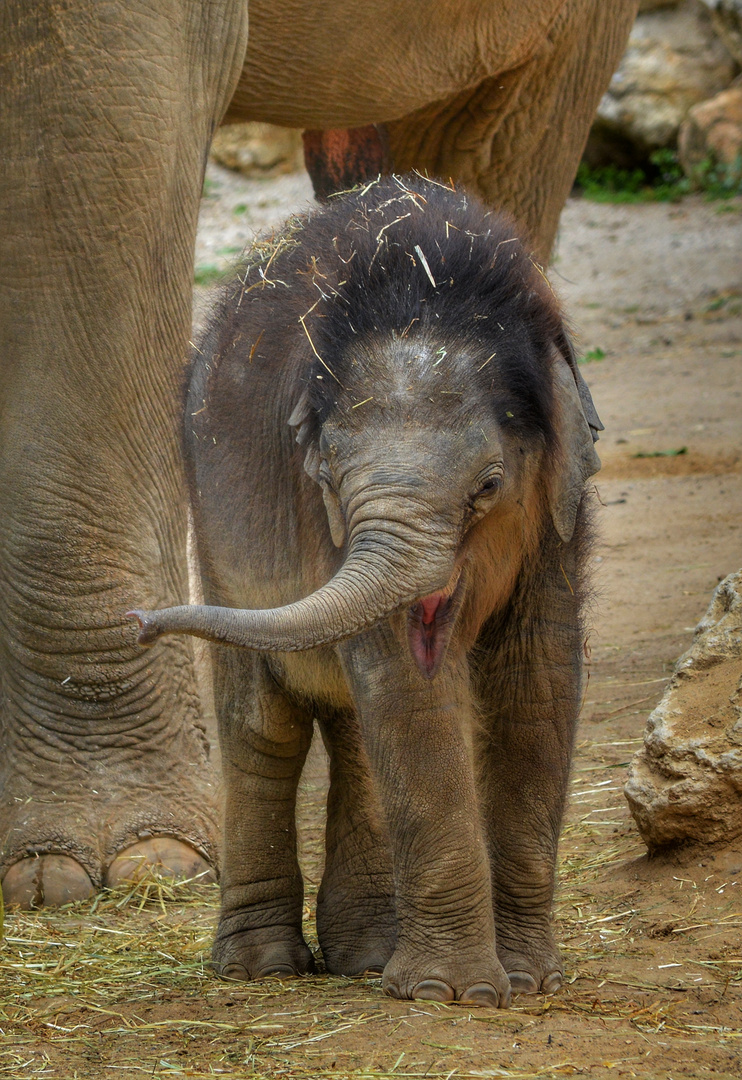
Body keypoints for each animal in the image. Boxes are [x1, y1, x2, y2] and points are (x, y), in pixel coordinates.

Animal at [130, 172, 600, 1006]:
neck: (433, 282)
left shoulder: (559, 519)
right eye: (325, 479)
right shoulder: (326, 532)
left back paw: (366, 956)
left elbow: (538, 682)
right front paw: (454, 995)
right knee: (266, 727)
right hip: (214, 530)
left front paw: (529, 980)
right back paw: (261, 967)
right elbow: (410, 689)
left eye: (488, 487)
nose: (140, 623)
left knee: (353, 726)